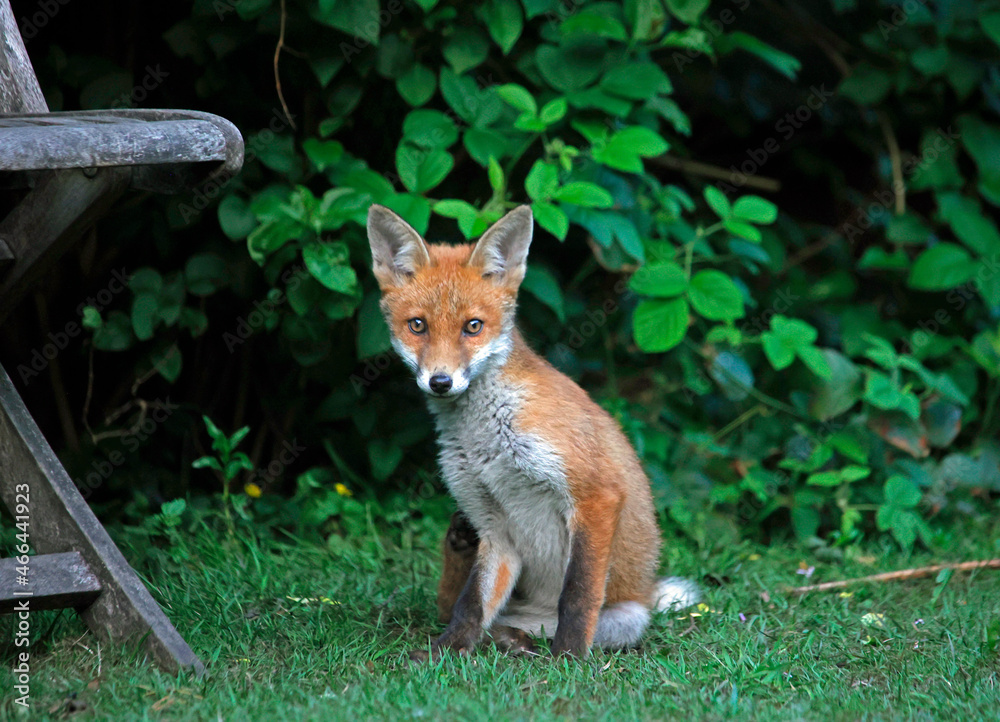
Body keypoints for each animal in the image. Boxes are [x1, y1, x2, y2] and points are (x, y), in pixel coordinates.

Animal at [367, 204, 699, 658]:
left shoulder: (595, 493)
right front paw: (445, 652)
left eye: (473, 326)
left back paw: (525, 643)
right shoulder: (492, 525)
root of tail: (649, 592)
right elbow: (470, 605)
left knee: (566, 623)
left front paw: (569, 659)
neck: (486, 438)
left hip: (628, 615)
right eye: (417, 325)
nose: (441, 382)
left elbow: (577, 596)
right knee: (452, 605)